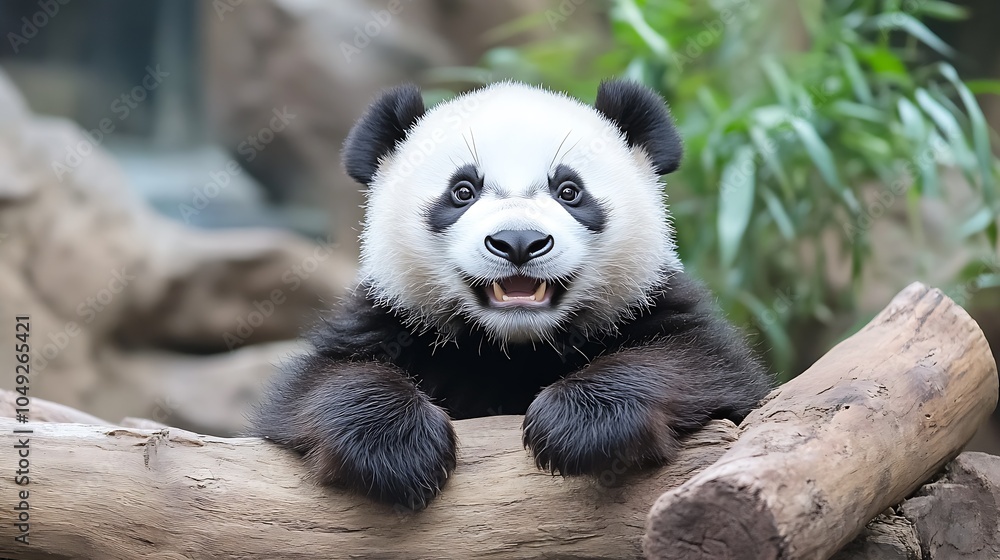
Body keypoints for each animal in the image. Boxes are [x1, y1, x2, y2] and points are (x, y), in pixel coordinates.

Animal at [254, 79, 772, 510]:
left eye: (569, 190)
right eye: (462, 191)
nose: (519, 242)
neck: (513, 344)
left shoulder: (650, 303)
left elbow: (700, 362)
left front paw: (576, 426)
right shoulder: (391, 317)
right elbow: (322, 382)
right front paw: (399, 450)